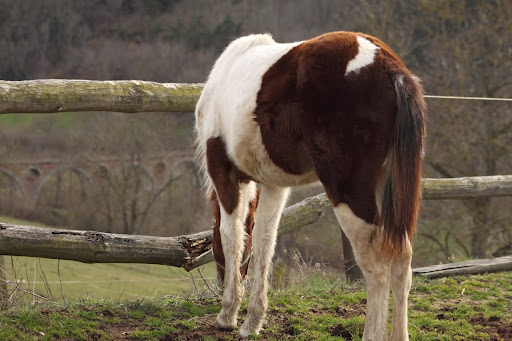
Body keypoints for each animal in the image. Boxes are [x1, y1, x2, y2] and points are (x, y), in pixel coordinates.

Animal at [194, 30, 426, 338]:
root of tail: (390, 67)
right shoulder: (273, 185)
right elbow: (264, 243)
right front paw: (252, 322)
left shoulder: (225, 175)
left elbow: (232, 236)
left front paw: (227, 314)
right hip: (388, 191)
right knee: (402, 261)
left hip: (349, 193)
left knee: (376, 268)